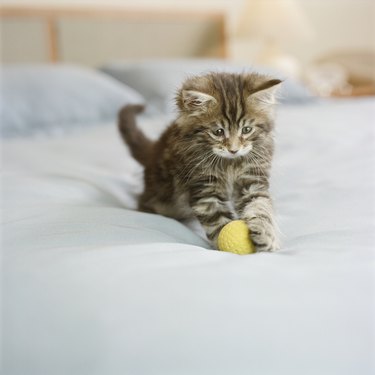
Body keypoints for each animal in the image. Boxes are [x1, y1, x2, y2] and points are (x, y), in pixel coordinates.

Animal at [120, 71, 282, 251]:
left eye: (247, 130)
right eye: (218, 132)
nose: (233, 150)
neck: (230, 163)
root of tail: (154, 151)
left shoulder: (253, 179)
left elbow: (260, 206)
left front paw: (267, 235)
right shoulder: (205, 189)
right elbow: (218, 220)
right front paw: (225, 242)